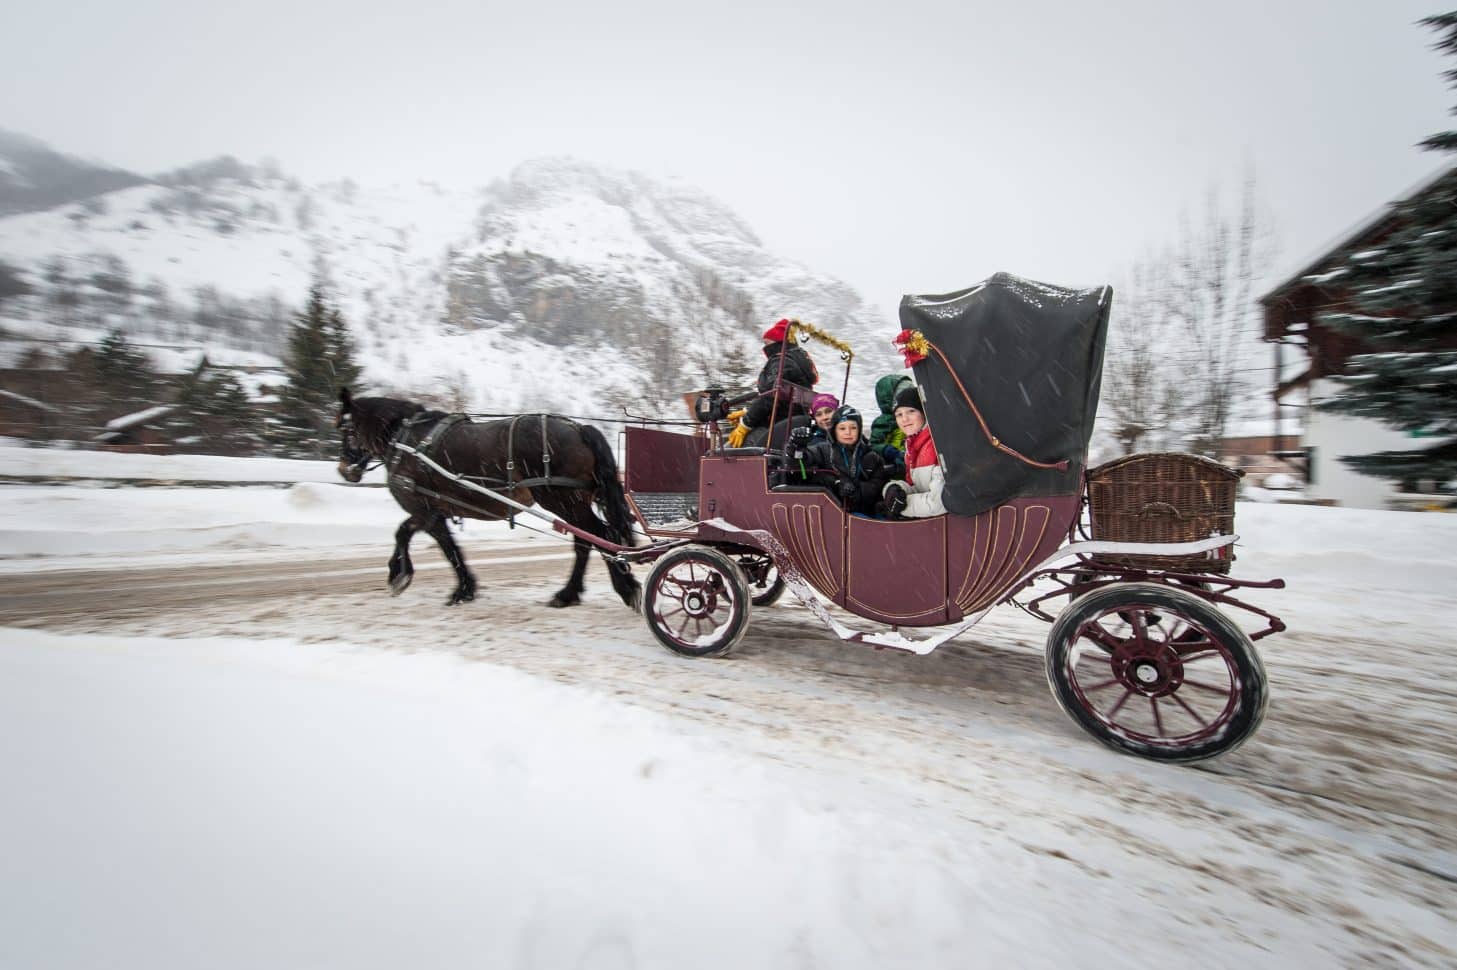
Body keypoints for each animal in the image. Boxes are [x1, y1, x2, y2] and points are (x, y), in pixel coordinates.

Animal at [340, 384, 643, 605]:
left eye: (344, 428)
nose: (344, 470)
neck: (406, 440)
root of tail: (579, 429)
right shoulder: (437, 511)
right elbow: (447, 546)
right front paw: (464, 588)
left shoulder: (423, 508)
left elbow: (410, 536)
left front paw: (400, 575)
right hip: (572, 501)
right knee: (587, 541)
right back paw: (571, 593)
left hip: (562, 499)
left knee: (600, 536)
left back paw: (621, 588)